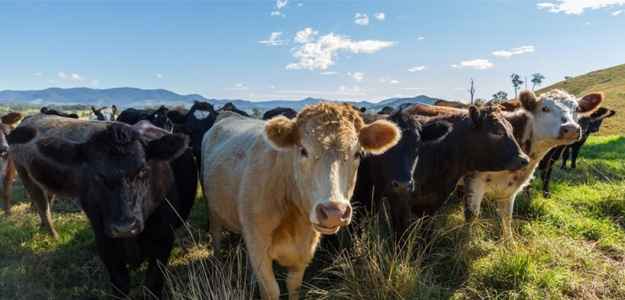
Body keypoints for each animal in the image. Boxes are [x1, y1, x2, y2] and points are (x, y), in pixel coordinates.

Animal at [7, 115, 195, 298]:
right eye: (96, 175)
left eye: (143, 170)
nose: (124, 227)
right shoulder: (105, 242)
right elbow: (120, 284)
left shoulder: (163, 240)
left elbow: (152, 285)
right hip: (25, 174)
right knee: (42, 205)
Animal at [202, 102, 402, 298]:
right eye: (303, 150)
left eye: (358, 154)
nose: (334, 212)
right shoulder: (259, 248)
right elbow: (271, 290)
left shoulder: (303, 252)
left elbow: (294, 286)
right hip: (213, 209)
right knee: (216, 237)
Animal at [460, 89, 604, 239]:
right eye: (545, 108)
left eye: (577, 109)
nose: (570, 128)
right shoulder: (474, 180)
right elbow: (471, 215)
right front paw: (467, 240)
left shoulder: (510, 188)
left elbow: (507, 216)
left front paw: (509, 242)